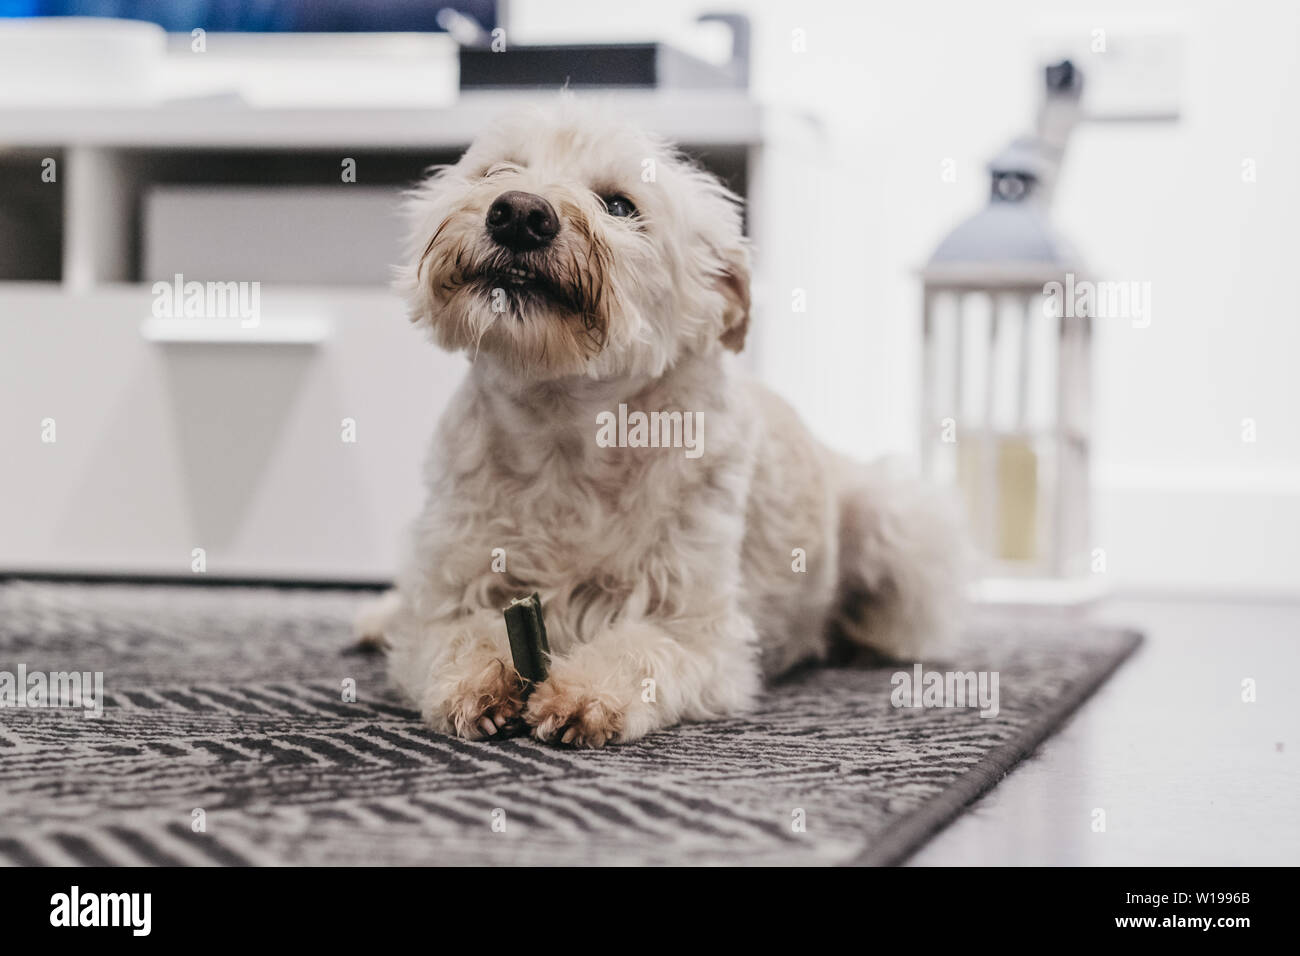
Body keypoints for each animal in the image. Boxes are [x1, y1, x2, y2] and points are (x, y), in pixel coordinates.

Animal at [358, 102, 967, 749]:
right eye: (497, 171)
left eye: (620, 205)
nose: (519, 213)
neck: (565, 430)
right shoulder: (445, 595)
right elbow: (451, 631)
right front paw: (475, 679)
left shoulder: (703, 633)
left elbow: (642, 648)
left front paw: (584, 694)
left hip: (896, 518)